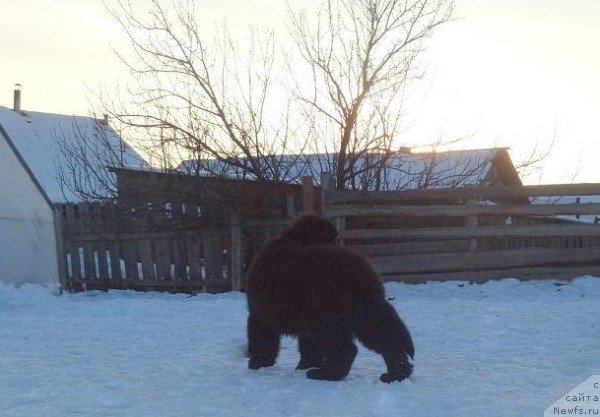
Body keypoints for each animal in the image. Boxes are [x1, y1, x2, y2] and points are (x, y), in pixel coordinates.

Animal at [246, 213, 414, 382]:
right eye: (335, 239)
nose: (338, 244)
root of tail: (362, 272)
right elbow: (307, 345)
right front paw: (306, 365)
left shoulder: (261, 310)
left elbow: (262, 336)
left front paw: (258, 363)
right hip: (364, 312)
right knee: (387, 339)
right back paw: (397, 374)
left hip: (328, 318)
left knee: (346, 349)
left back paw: (325, 374)